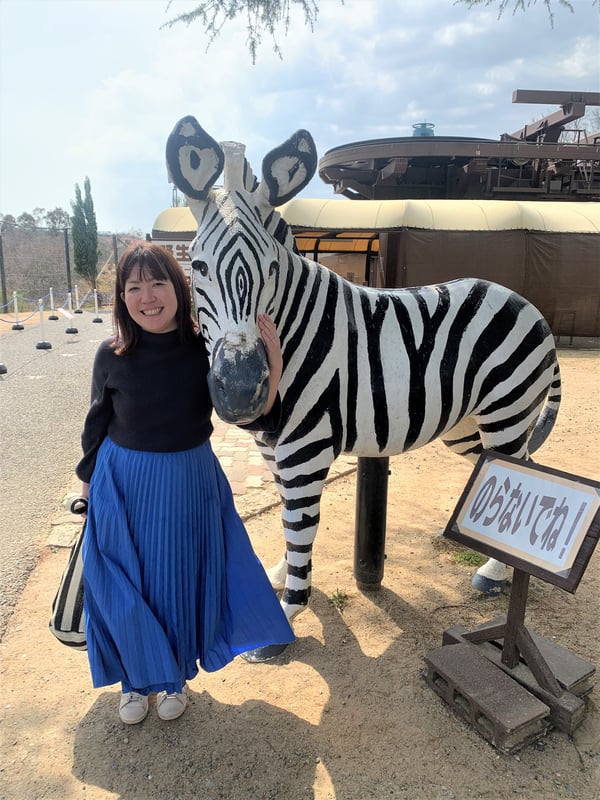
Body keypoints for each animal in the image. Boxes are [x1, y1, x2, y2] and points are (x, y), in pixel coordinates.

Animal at [166, 116, 562, 652]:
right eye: (199, 266)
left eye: (272, 268)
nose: (242, 390)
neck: (293, 330)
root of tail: (529, 306)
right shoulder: (273, 447)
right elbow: (286, 520)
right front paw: (278, 576)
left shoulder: (306, 448)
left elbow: (300, 524)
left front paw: (287, 616)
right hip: (469, 425)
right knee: (512, 466)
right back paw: (497, 566)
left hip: (508, 411)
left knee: (519, 469)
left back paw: (497, 571)